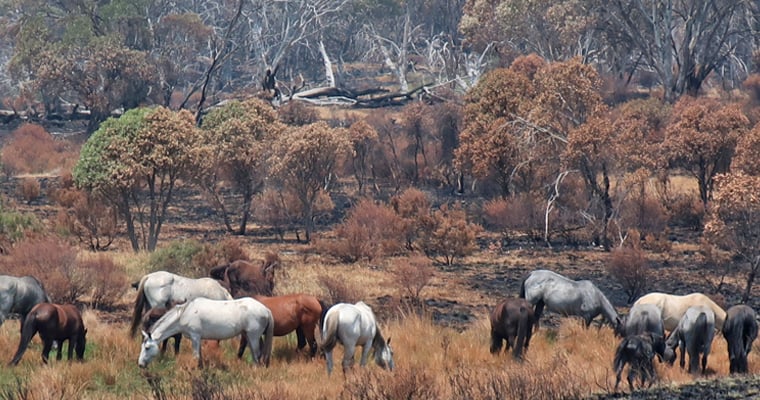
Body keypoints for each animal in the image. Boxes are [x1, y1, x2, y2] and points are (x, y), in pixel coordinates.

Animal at [138, 296, 274, 368]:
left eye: (147, 347)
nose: (140, 364)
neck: (184, 313)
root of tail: (266, 310)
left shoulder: (195, 336)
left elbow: (196, 356)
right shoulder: (198, 338)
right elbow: (200, 357)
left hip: (253, 336)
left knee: (257, 355)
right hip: (251, 337)